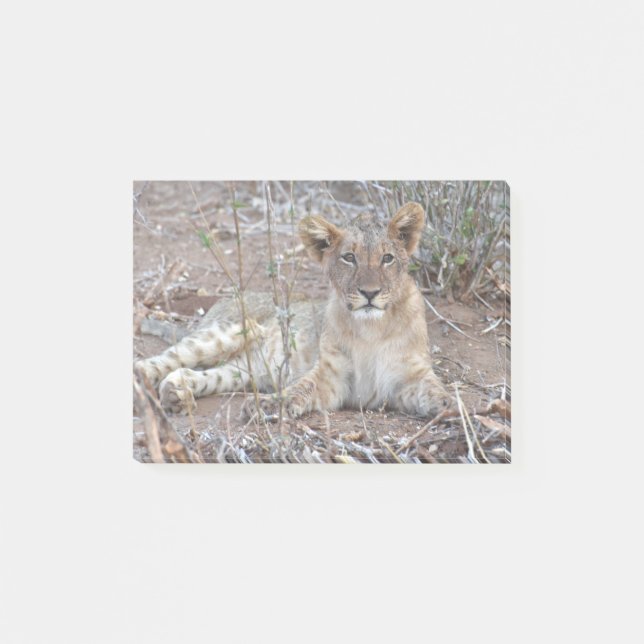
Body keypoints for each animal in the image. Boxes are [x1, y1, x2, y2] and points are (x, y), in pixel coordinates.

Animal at [135, 202, 453, 419]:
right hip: (230, 331)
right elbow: (300, 389)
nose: (370, 293)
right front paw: (267, 406)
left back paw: (177, 394)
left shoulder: (409, 378)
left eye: (387, 258)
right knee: (154, 362)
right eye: (349, 257)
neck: (372, 329)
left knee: (196, 372)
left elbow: (437, 391)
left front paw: (454, 408)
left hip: (244, 372)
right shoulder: (332, 377)